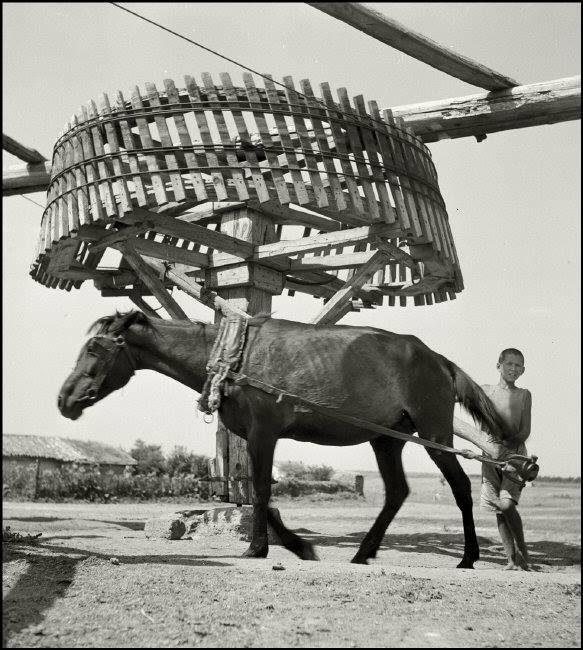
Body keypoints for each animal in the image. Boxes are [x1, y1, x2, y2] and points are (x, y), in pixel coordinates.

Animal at [57, 312, 508, 564]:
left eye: (95, 349)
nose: (65, 399)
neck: (236, 357)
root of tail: (439, 359)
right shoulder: (257, 436)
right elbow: (258, 492)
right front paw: (290, 546)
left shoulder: (264, 432)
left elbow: (260, 489)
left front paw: (263, 548)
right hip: (387, 440)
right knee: (396, 492)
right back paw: (363, 552)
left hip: (434, 433)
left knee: (461, 487)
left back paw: (468, 558)